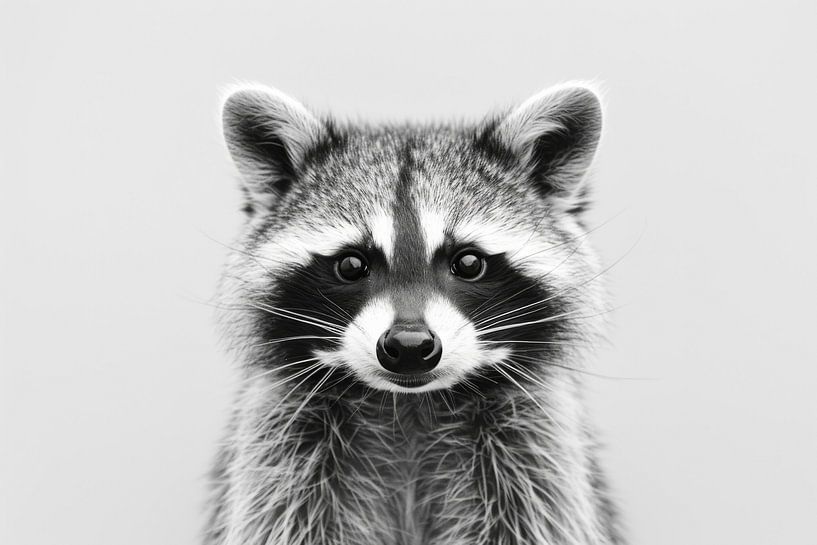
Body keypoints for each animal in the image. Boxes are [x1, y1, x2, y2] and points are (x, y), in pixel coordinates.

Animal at [205, 82, 622, 545]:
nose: (408, 346)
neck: (409, 405)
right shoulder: (281, 449)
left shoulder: (536, 450)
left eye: (469, 263)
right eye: (351, 265)